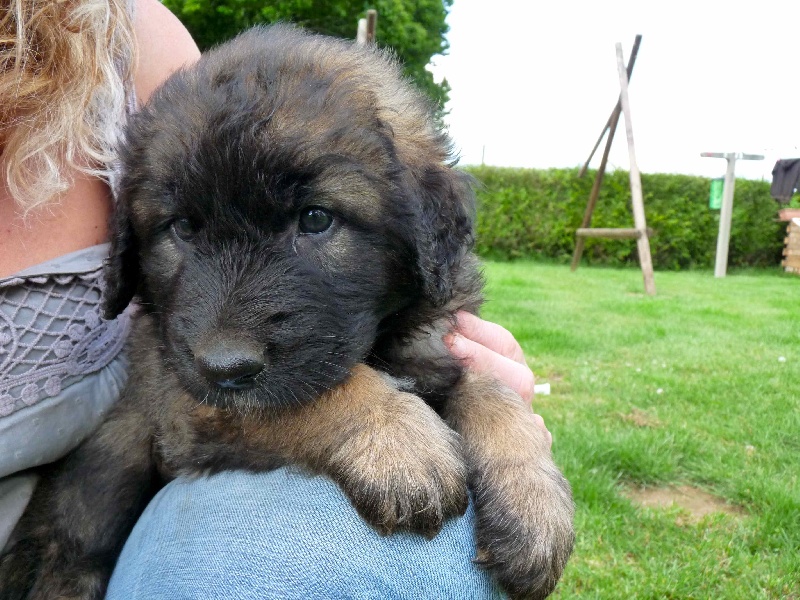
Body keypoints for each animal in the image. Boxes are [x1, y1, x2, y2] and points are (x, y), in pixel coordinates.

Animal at [0, 26, 574, 600]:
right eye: (180, 228)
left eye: (316, 219)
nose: (225, 367)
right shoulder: (182, 397)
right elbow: (316, 394)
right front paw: (397, 439)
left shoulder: (435, 341)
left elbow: (491, 389)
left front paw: (533, 502)